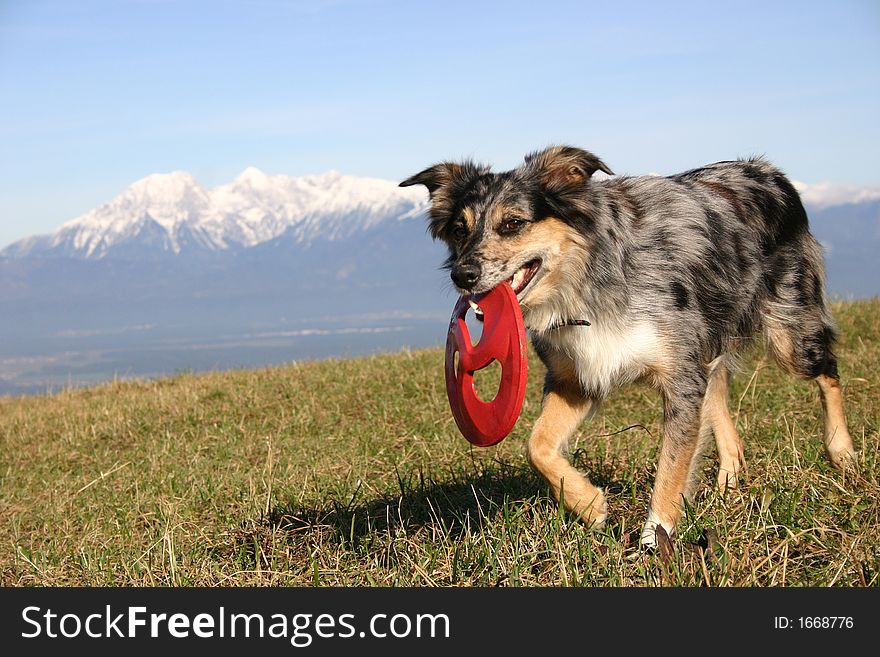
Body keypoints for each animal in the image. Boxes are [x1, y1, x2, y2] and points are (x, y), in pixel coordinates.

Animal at [402, 145, 856, 548]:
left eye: (513, 224)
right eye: (459, 229)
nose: (462, 275)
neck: (584, 285)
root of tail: (766, 170)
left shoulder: (680, 376)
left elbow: (671, 465)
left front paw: (656, 538)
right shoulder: (577, 377)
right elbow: (537, 447)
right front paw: (589, 505)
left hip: (789, 332)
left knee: (827, 371)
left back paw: (842, 453)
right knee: (719, 392)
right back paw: (728, 479)